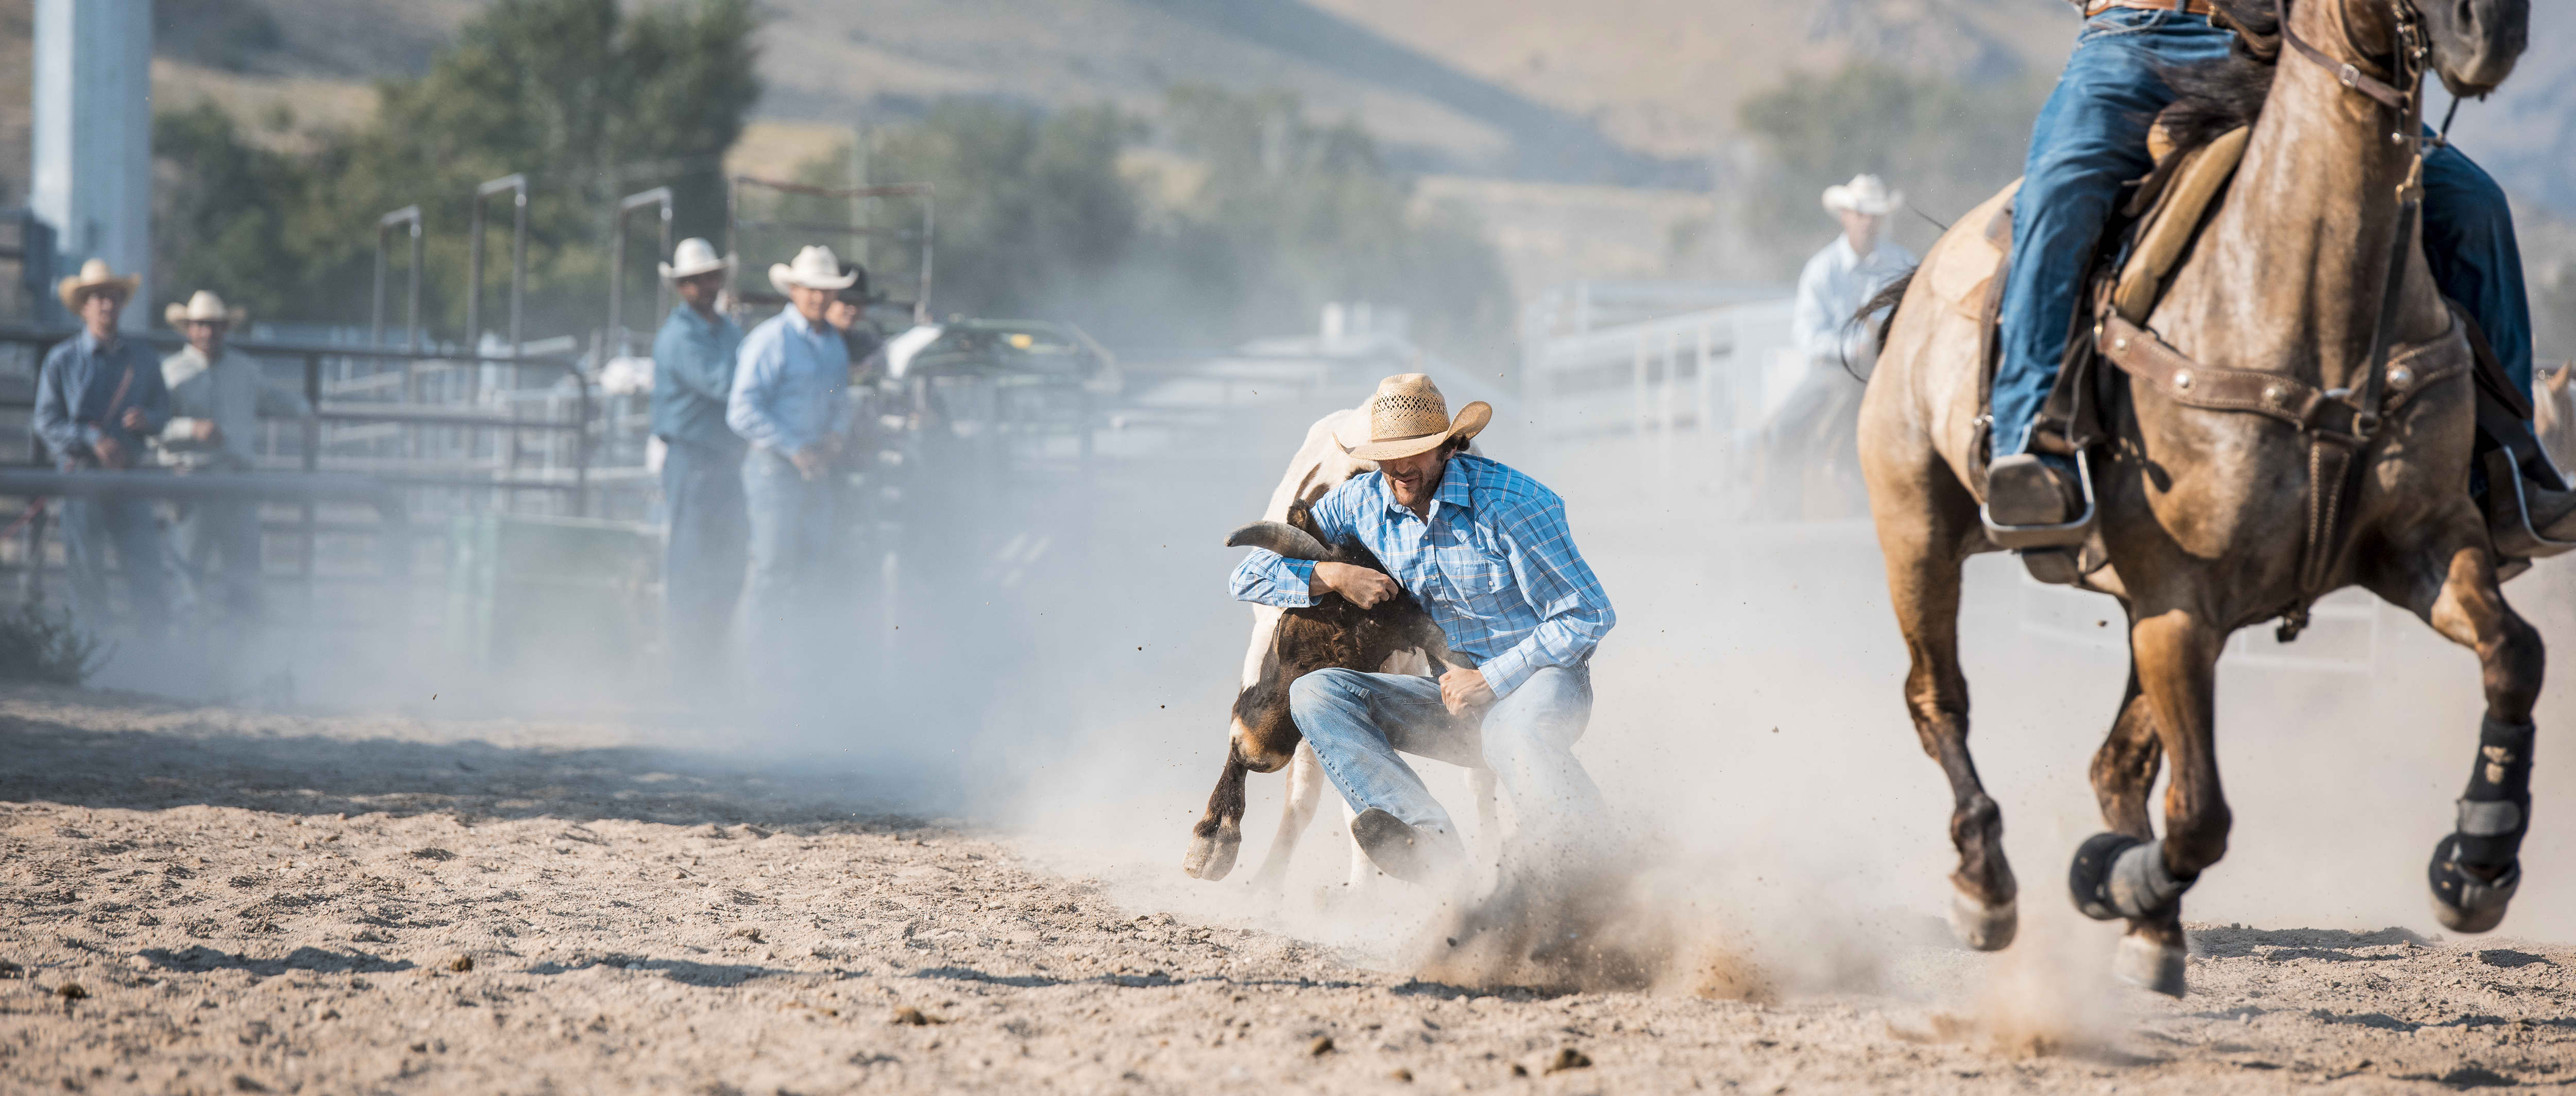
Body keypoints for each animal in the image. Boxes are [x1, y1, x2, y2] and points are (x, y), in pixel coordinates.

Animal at [1855, 0, 2535, 998]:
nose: (2489, 35)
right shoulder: (2183, 600)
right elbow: (2204, 811)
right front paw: (2117, 885)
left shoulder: (2426, 543)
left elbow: (2515, 654)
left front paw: (2478, 862)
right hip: (1919, 530)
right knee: (1939, 698)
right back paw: (1987, 884)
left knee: (2117, 764)